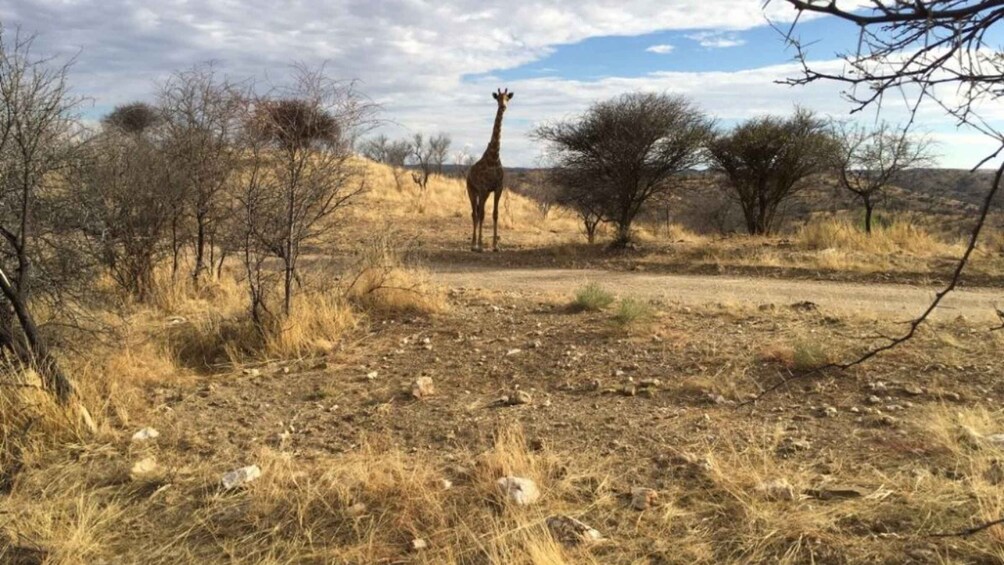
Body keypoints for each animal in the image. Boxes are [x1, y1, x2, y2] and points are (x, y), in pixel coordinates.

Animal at [466, 88, 513, 252]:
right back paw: (473, 244)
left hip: (483, 193)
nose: (503, 107)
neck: (493, 157)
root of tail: (468, 174)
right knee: (475, 213)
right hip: (472, 190)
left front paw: (495, 246)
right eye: (498, 98)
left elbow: (495, 214)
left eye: (507, 98)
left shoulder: (498, 188)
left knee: (478, 212)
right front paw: (480, 246)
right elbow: (481, 214)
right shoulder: (483, 189)